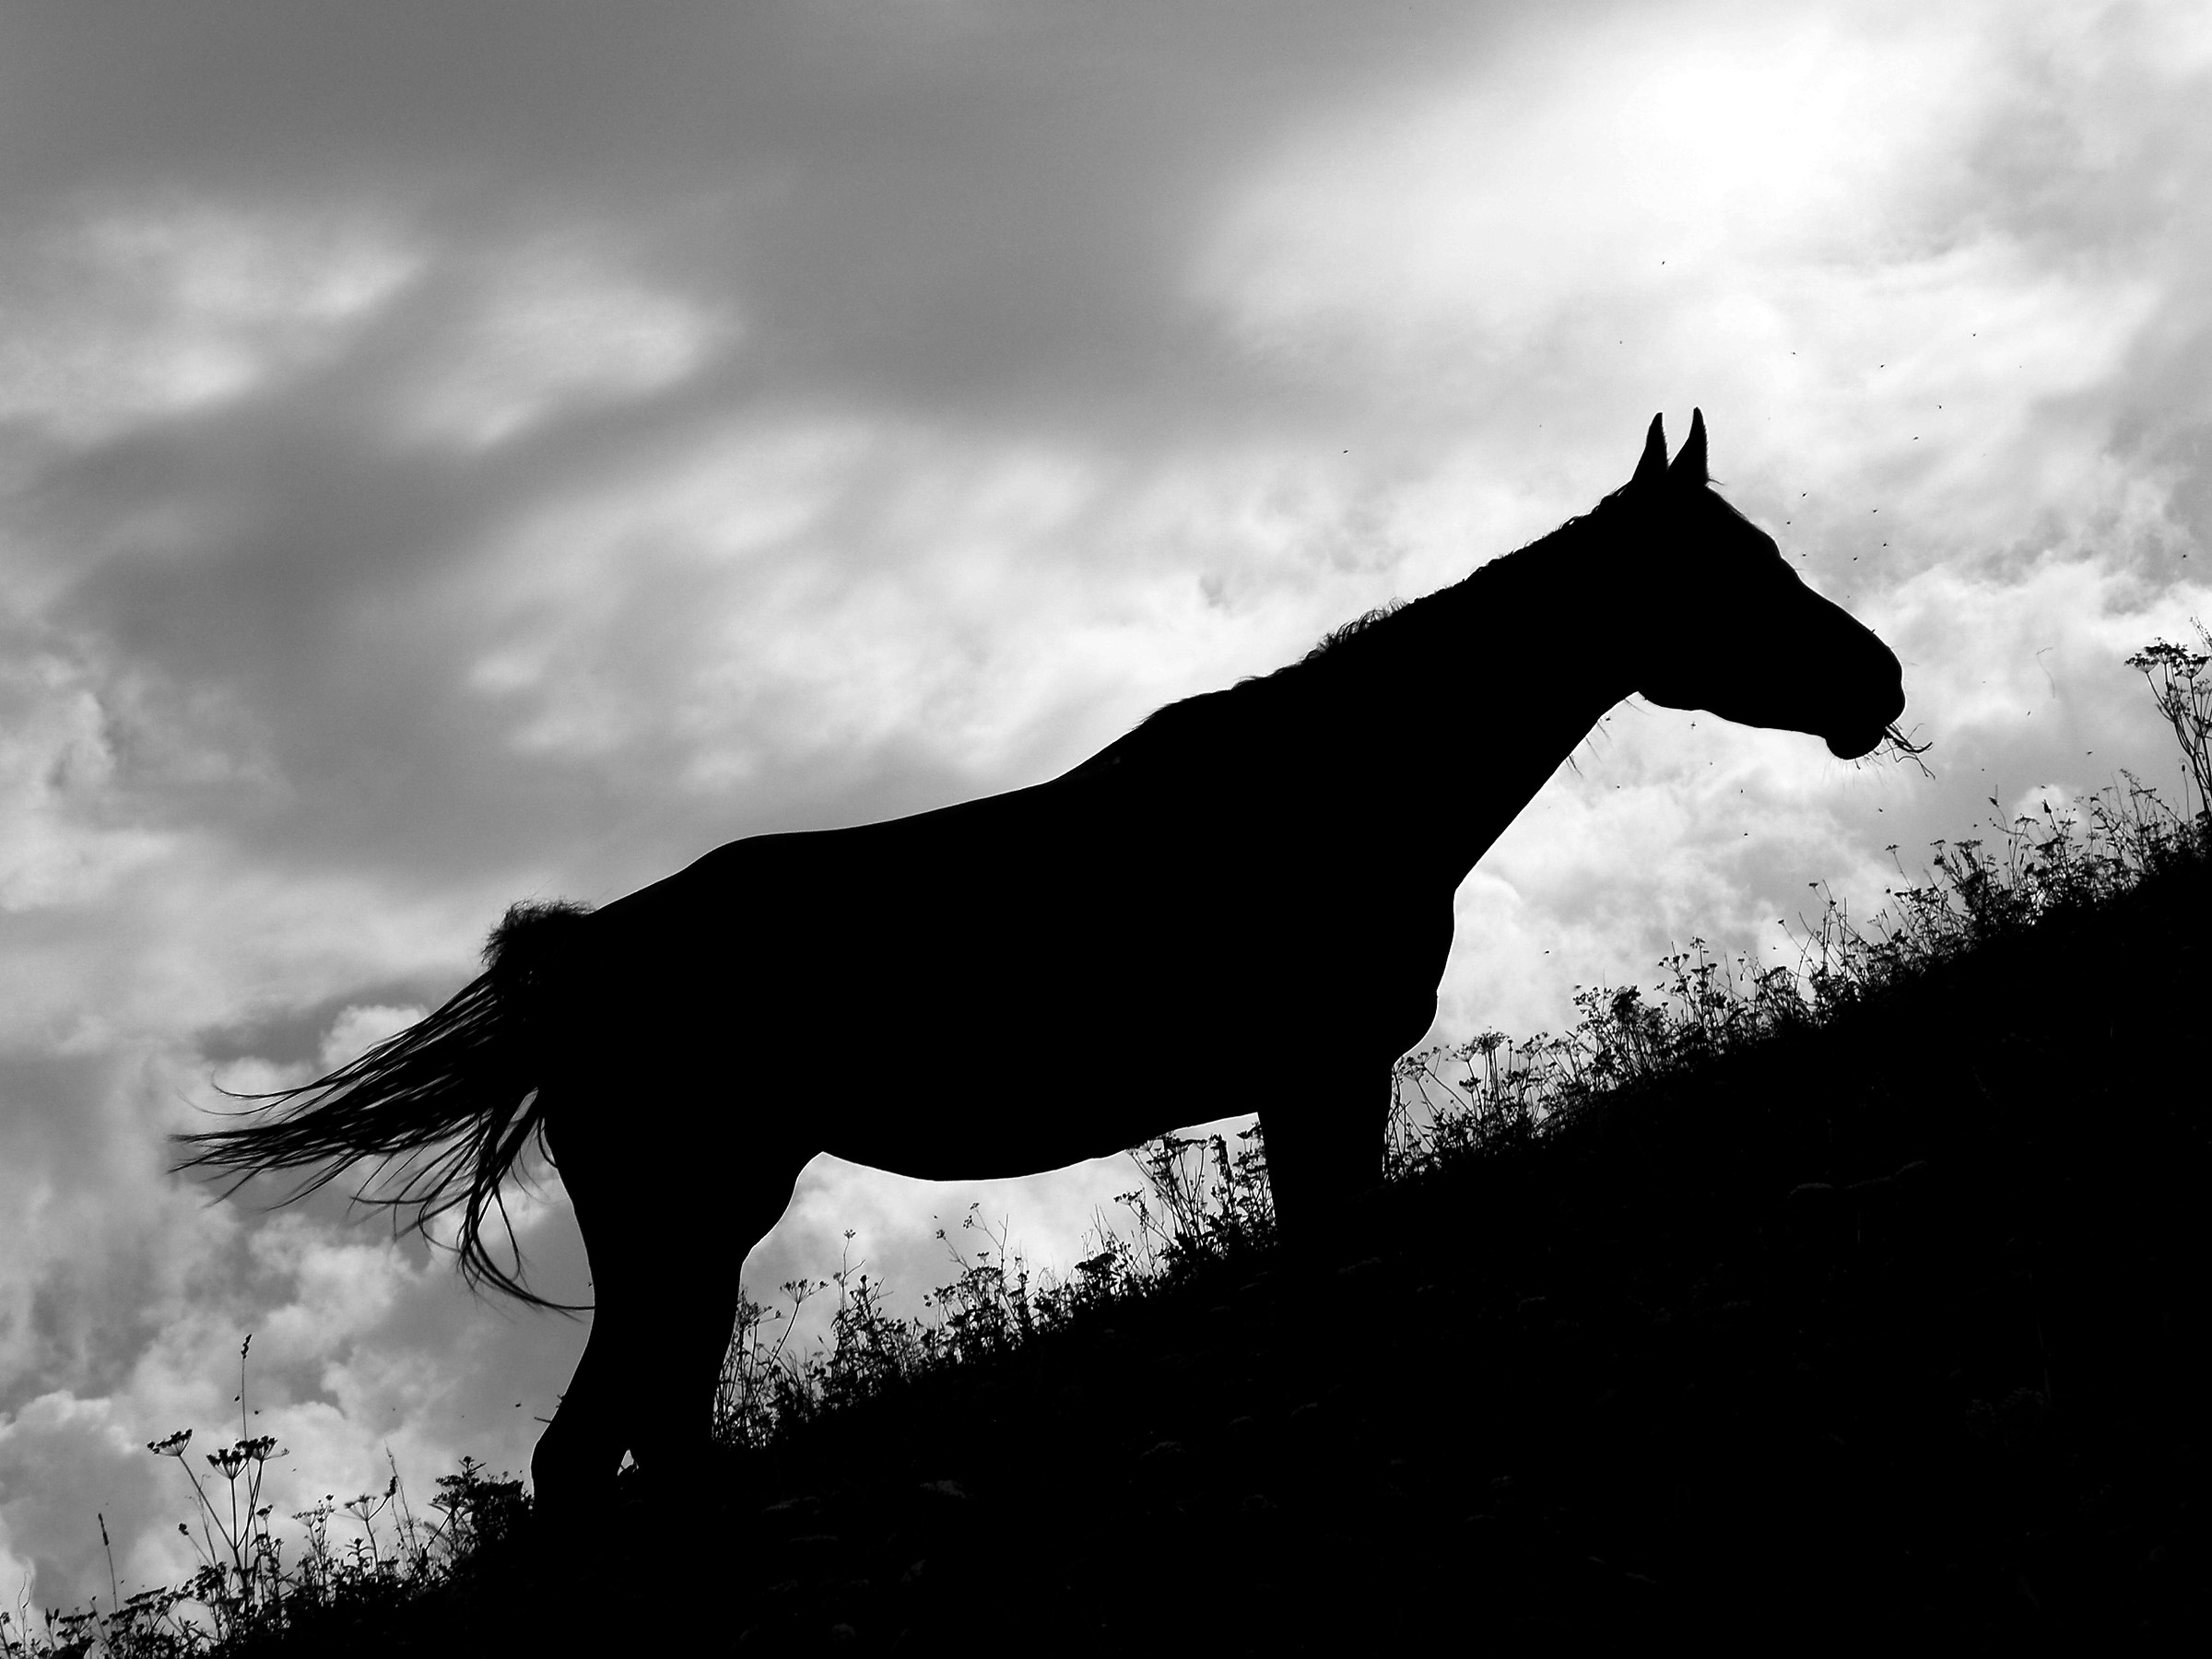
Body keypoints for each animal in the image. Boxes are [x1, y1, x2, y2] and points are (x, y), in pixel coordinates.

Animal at [178, 410, 1908, 1523]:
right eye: (1728, 569)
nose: (1878, 683)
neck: (1340, 786)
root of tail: (581, 959)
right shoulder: (1320, 1075)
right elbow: (1339, 1272)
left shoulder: (1312, 1086)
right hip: (686, 1225)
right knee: (593, 1458)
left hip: (693, 1241)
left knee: (637, 1447)